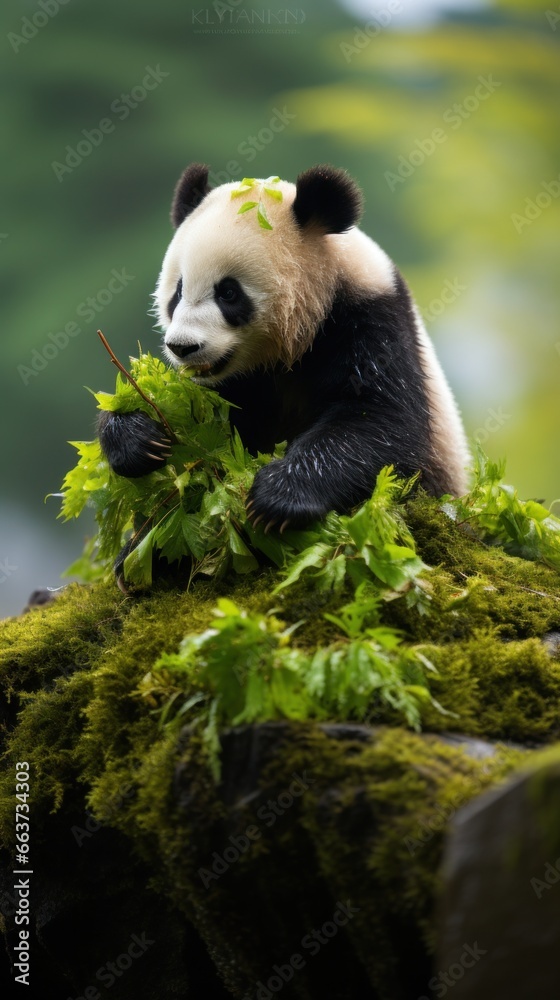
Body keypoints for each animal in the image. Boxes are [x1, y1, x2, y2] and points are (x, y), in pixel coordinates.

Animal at [98, 163, 470, 532]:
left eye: (228, 292)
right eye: (177, 291)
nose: (182, 347)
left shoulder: (371, 321)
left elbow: (382, 421)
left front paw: (277, 496)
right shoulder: (232, 385)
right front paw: (137, 435)